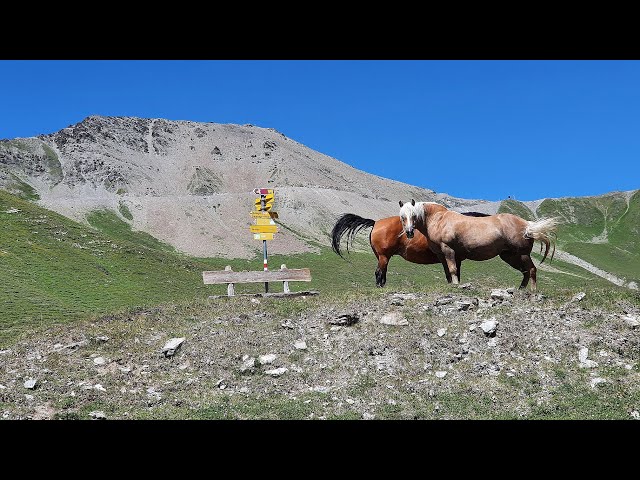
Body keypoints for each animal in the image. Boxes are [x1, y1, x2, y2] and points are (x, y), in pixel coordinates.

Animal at [332, 212, 488, 286]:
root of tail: (375, 223)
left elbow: (450, 274)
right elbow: (452, 273)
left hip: (382, 257)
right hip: (383, 256)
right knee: (379, 273)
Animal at [398, 200, 556, 290]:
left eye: (413, 215)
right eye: (402, 217)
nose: (409, 232)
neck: (439, 219)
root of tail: (527, 225)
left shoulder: (449, 250)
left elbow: (453, 270)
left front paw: (456, 286)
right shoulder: (442, 255)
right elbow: (449, 272)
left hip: (522, 255)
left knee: (532, 270)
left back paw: (533, 292)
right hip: (510, 256)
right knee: (525, 272)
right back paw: (520, 290)